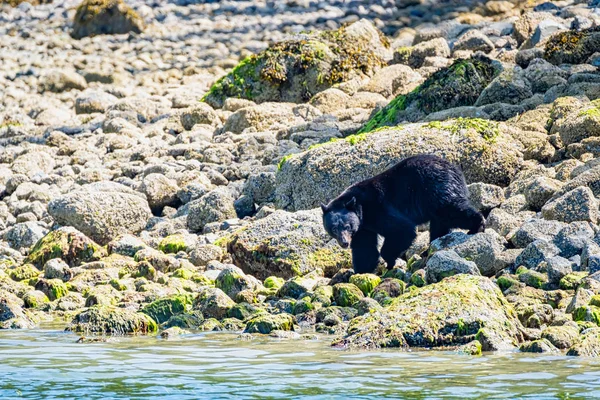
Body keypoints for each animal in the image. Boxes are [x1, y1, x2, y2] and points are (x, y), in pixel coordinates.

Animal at [322, 155, 486, 274]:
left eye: (347, 226)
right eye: (334, 228)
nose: (344, 243)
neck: (362, 208)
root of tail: (456, 169)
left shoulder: (378, 208)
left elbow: (401, 229)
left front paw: (389, 261)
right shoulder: (362, 228)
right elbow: (364, 248)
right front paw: (362, 272)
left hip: (436, 189)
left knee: (451, 210)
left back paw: (478, 225)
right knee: (439, 224)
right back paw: (429, 249)